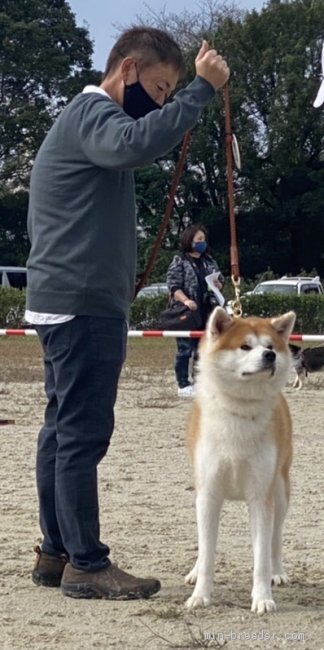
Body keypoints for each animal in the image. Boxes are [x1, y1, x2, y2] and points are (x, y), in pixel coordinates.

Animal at [185, 306, 296, 612]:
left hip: (280, 492)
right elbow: (207, 552)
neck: (240, 410)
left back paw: (277, 572)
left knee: (275, 539)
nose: (269, 356)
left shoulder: (261, 496)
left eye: (270, 346)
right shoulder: (208, 494)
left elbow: (261, 556)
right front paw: (200, 595)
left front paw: (262, 598)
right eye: (245, 346)